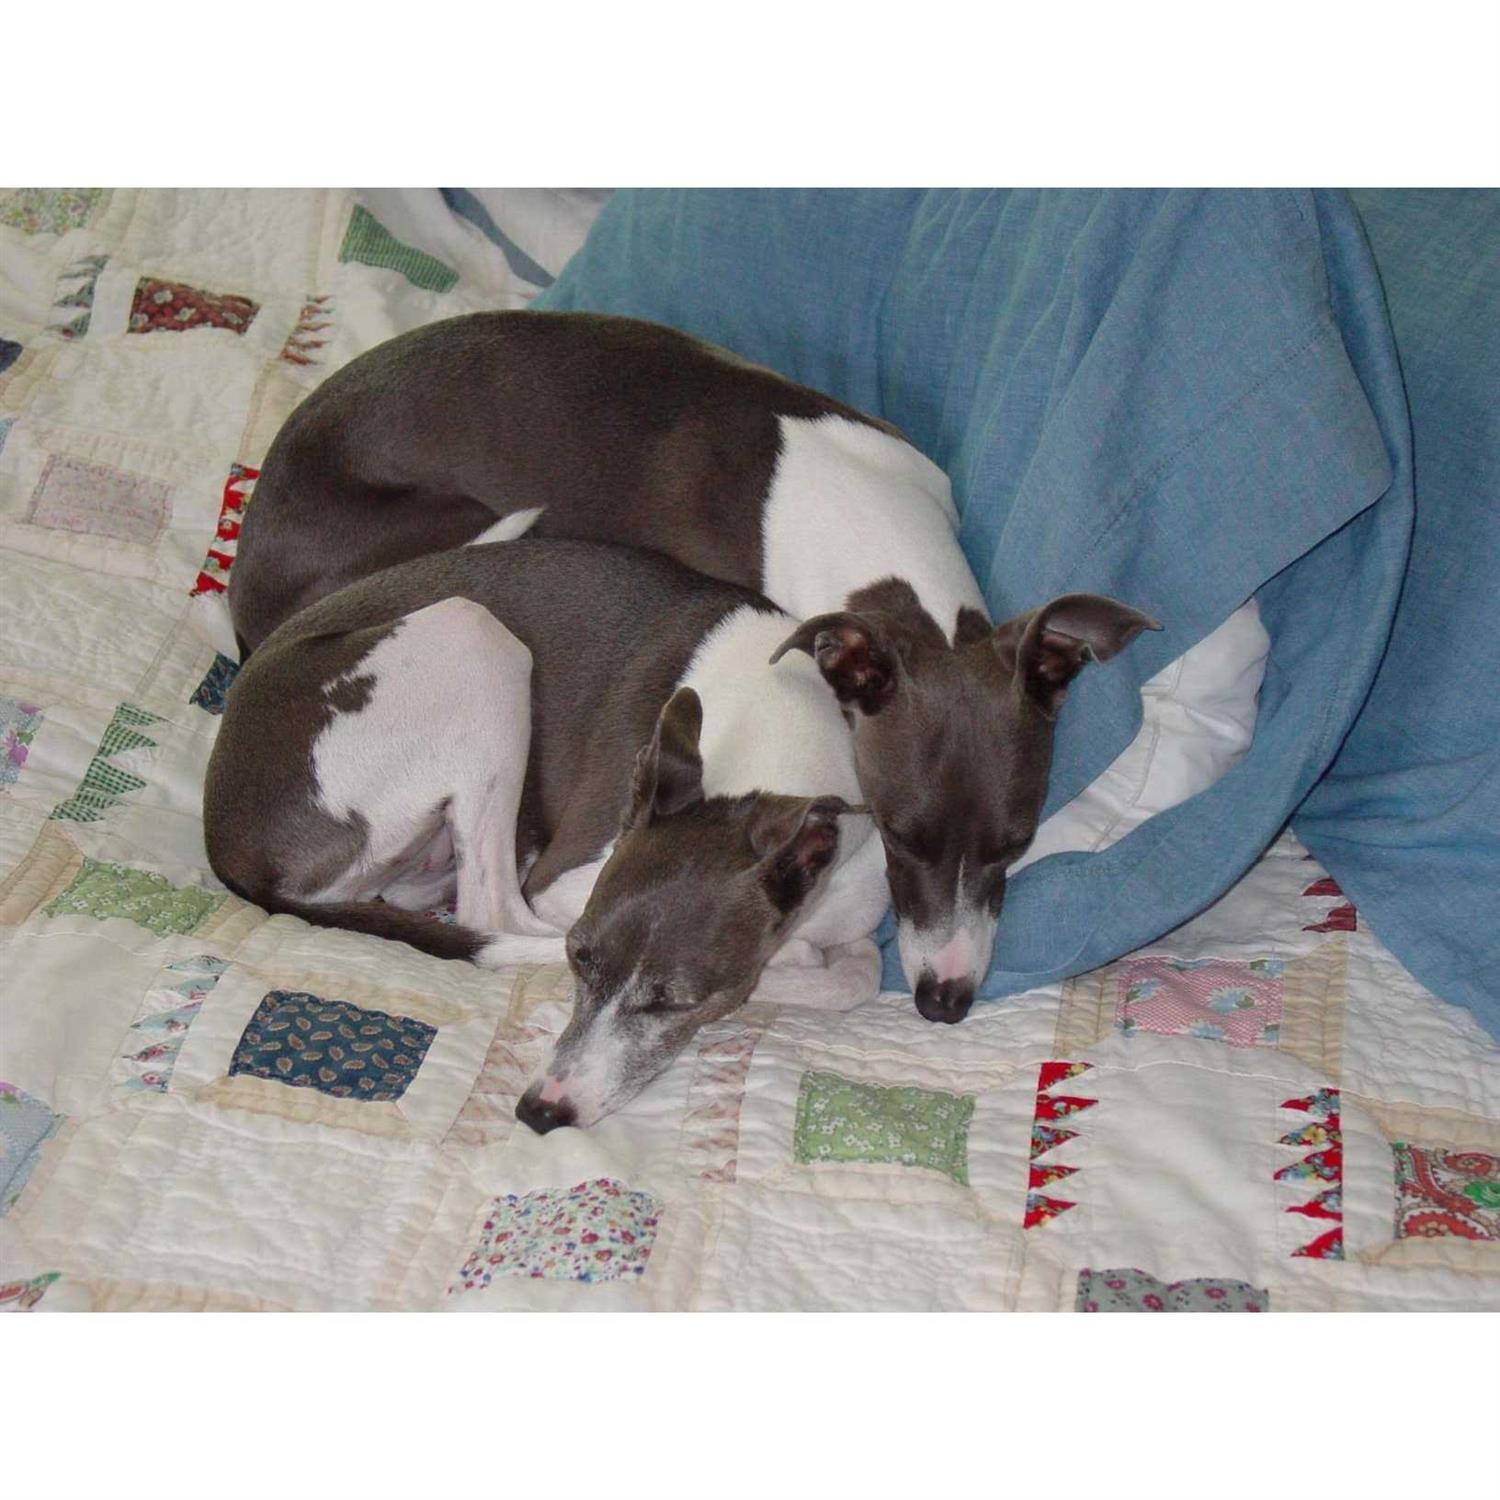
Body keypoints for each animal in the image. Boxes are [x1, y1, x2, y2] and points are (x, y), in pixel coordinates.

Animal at [205, 539, 890, 1131]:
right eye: (578, 959)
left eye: (672, 1003)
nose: (543, 1111)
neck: (776, 749)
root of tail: (226, 844)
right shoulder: (565, 880)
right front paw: (793, 965)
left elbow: (860, 969)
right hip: (473, 637)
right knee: (490, 910)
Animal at [230, 310, 1159, 1022]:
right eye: (903, 834)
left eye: (1019, 842)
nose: (944, 998)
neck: (862, 517)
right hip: (468, 623)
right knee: (493, 904)